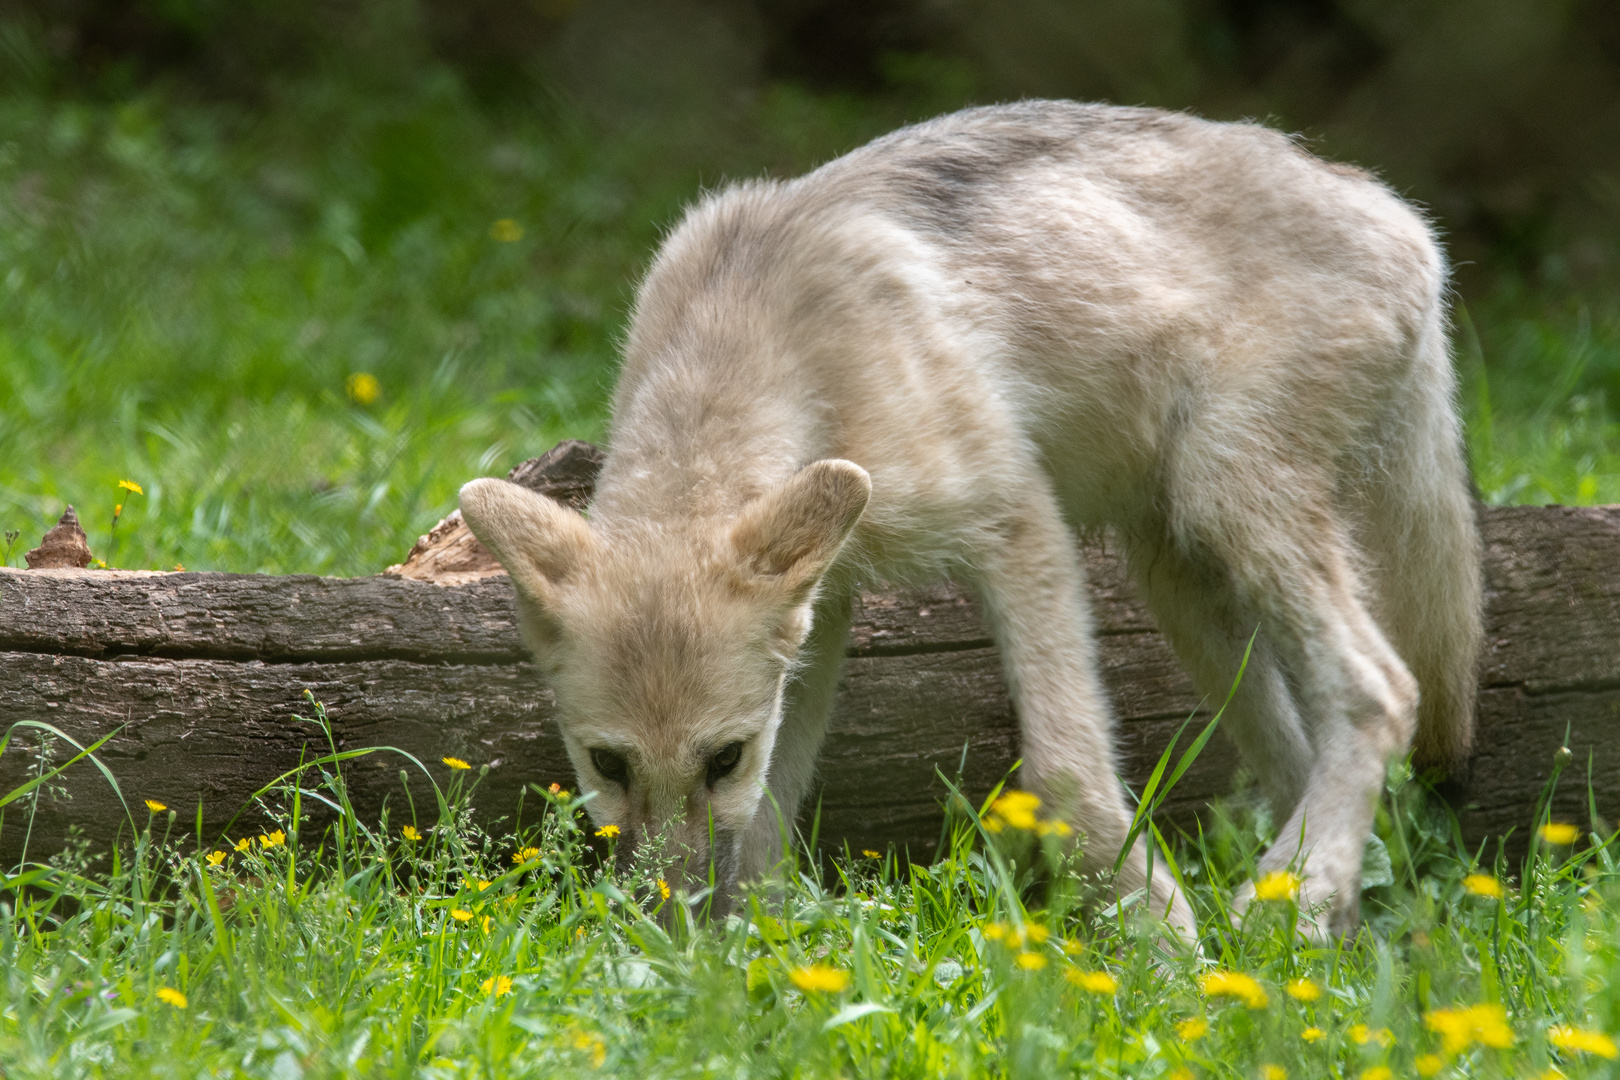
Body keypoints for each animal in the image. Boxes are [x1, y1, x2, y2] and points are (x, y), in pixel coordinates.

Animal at [456, 105, 1483, 939]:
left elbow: (1069, 782)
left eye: (721, 758)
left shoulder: (1018, 529)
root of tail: (1404, 220)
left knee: (1384, 691)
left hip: (1228, 503)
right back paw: (1309, 945)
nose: (670, 938)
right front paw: (750, 972)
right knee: (1308, 752)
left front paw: (1164, 955)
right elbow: (771, 824)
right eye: (608, 763)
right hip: (1184, 582)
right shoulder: (827, 615)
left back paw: (1291, 907)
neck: (786, 350)